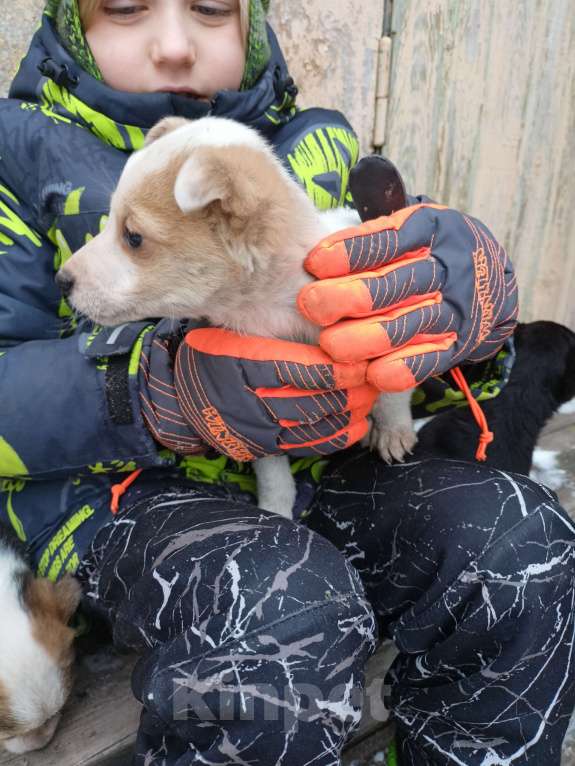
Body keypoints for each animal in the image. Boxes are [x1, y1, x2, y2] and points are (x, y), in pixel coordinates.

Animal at [59, 117, 418, 520]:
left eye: (133, 237)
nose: (61, 280)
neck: (268, 307)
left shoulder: (375, 325)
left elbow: (391, 382)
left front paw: (393, 431)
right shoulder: (261, 405)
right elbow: (272, 470)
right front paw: (276, 510)